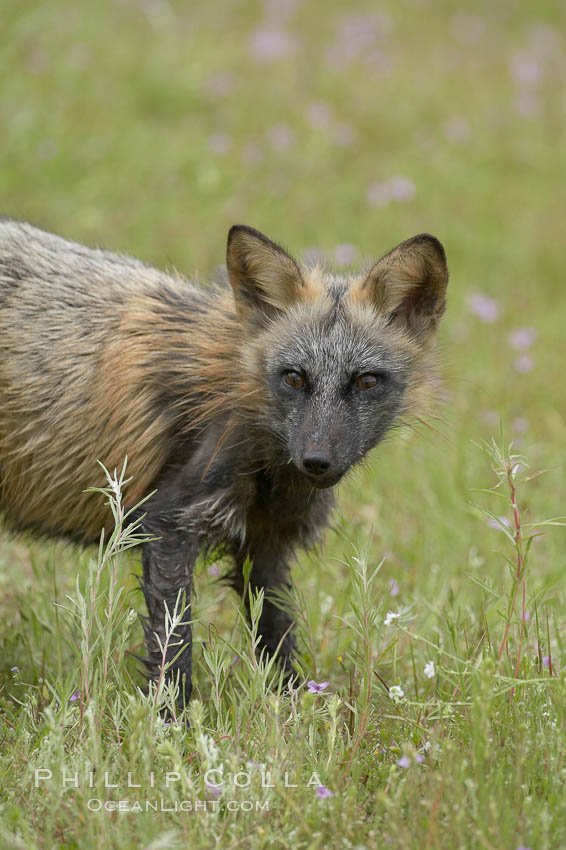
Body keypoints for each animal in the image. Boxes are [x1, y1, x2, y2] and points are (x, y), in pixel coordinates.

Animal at [0, 220, 452, 708]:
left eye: (366, 381)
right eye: (294, 378)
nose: (317, 461)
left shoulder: (267, 545)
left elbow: (277, 638)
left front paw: (292, 708)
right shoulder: (169, 524)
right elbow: (173, 647)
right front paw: (169, 720)